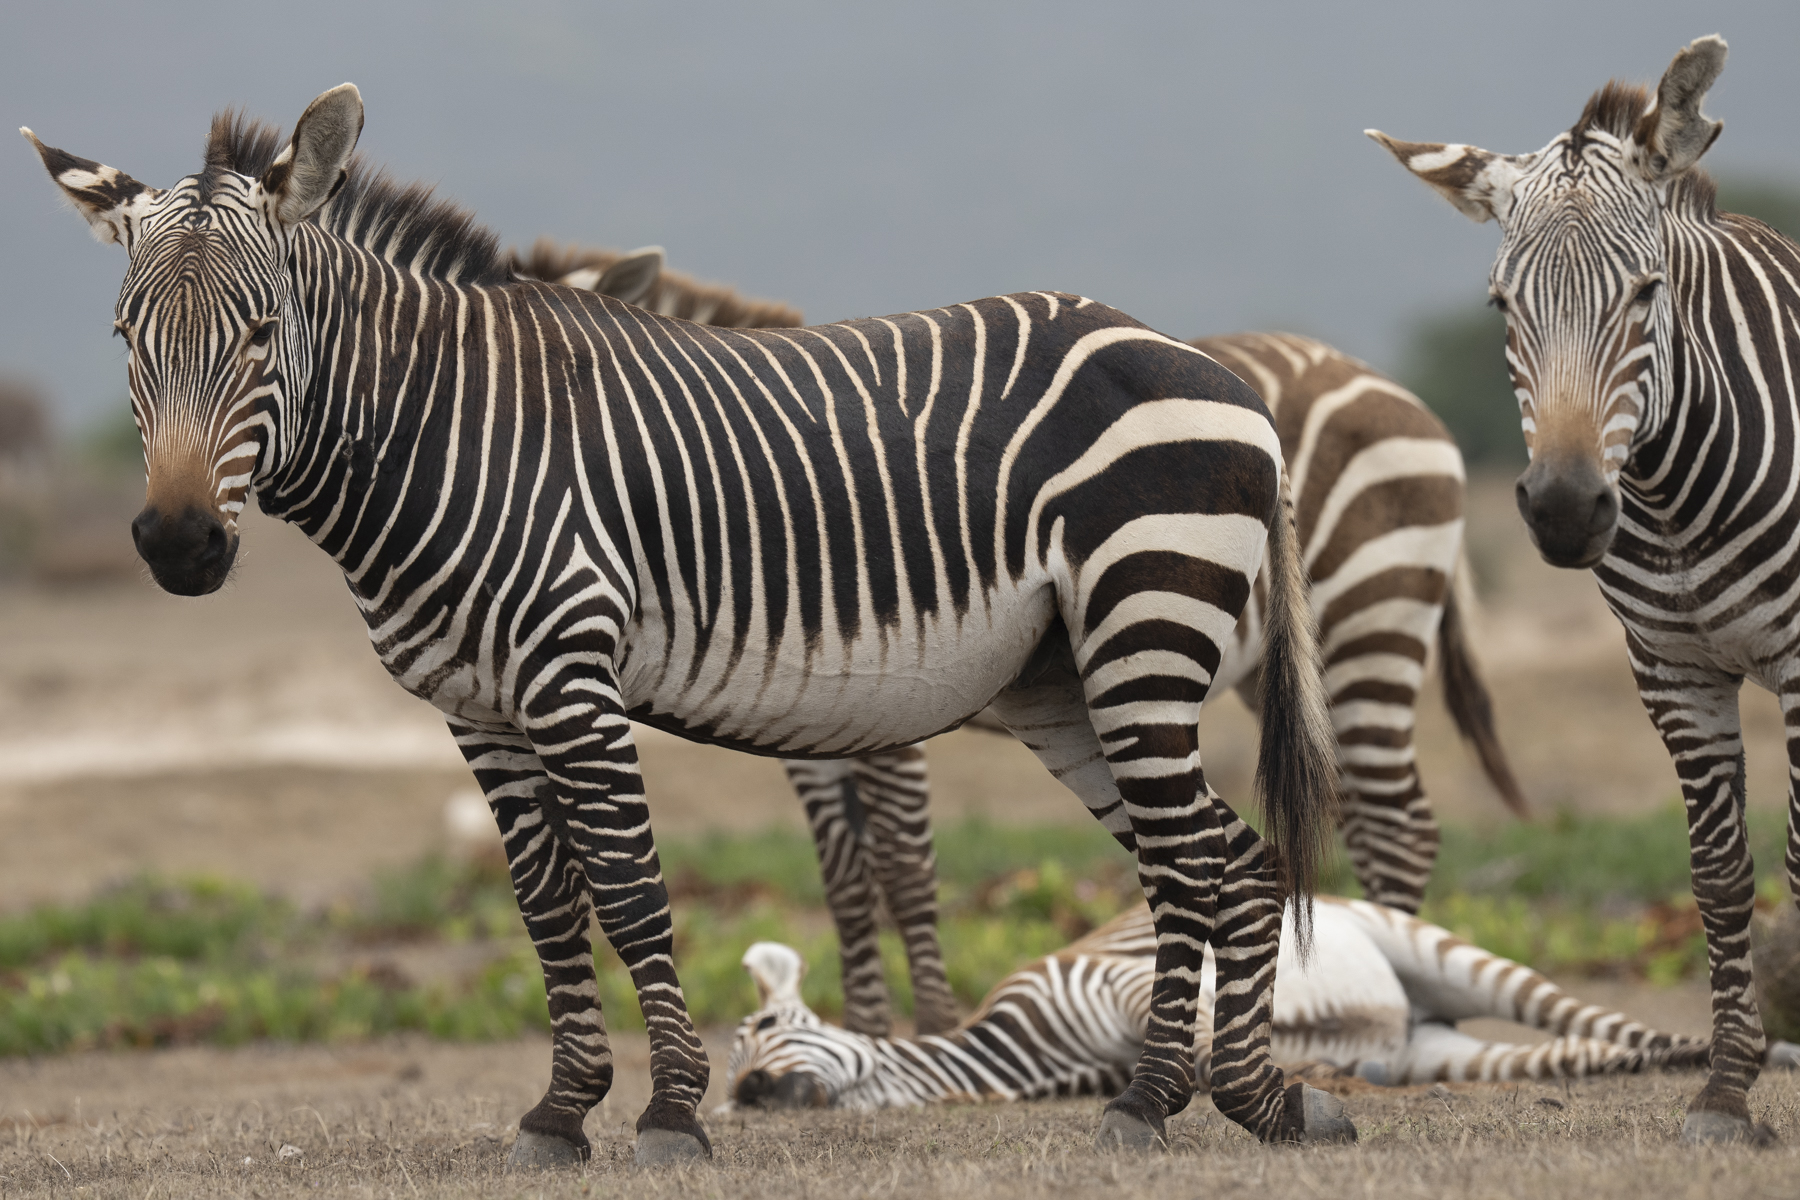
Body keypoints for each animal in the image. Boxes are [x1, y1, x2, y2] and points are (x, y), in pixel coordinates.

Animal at [25, 84, 1350, 1165]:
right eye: (128, 340)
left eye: (260, 332)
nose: (179, 544)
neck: (441, 434)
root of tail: (1210, 368)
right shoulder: (479, 711)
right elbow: (547, 908)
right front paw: (562, 1114)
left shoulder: (568, 675)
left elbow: (626, 889)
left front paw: (665, 1112)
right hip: (1066, 679)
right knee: (1225, 860)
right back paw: (1254, 1102)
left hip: (1144, 630)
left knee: (1189, 861)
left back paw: (1155, 1102)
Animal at [525, 245, 1526, 1035]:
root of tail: (1402, 395)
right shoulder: (798, 716)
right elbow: (844, 872)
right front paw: (863, 1021)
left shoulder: (877, 692)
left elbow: (899, 861)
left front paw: (917, 1025)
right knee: (1361, 813)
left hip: (1369, 619)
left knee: (1399, 823)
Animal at [1369, 34, 1800, 1145]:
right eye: (1501, 307)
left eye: (1645, 293)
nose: (1565, 509)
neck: (1681, 494)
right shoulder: (1673, 672)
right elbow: (1721, 878)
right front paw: (1726, 1093)